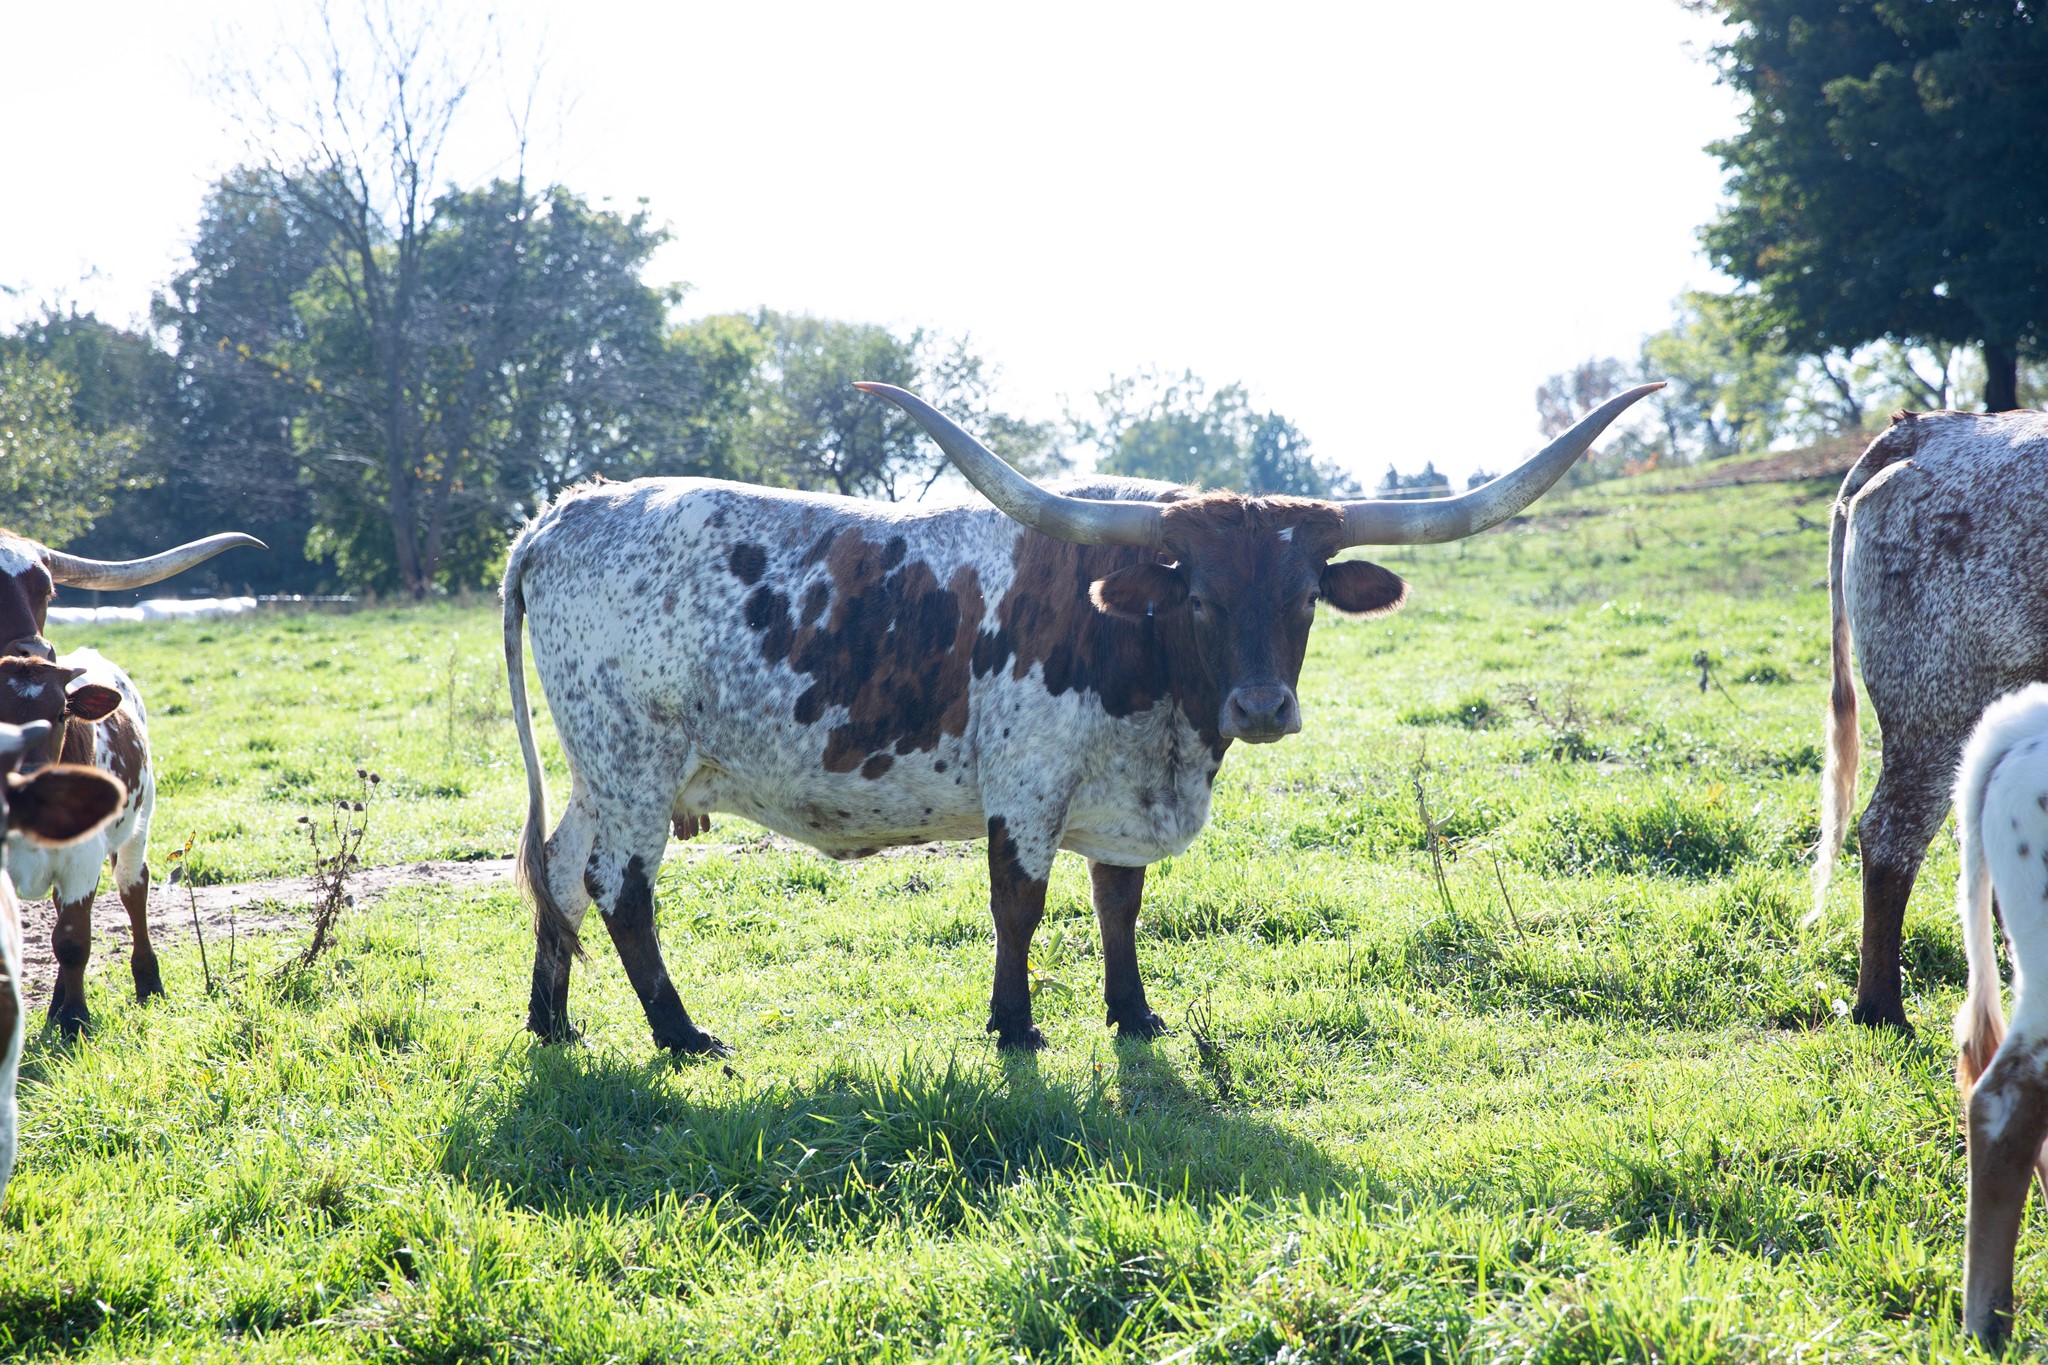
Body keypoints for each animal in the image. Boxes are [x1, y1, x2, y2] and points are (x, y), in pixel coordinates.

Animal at [0, 651, 158, 1036]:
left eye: (61, 713)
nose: (30, 772)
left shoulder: (81, 859)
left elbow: (72, 943)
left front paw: (75, 1019)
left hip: (139, 822)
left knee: (133, 888)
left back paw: (148, 982)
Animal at [502, 380, 1660, 1054]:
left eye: (1304, 596)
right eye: (1197, 592)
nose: (1261, 704)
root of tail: (564, 512)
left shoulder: (1123, 796)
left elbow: (1119, 905)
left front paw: (1132, 1013)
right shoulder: (1026, 786)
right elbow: (1019, 904)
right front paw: (1014, 1027)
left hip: (604, 769)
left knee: (555, 870)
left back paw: (552, 1023)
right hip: (634, 759)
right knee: (618, 886)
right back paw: (681, 1035)